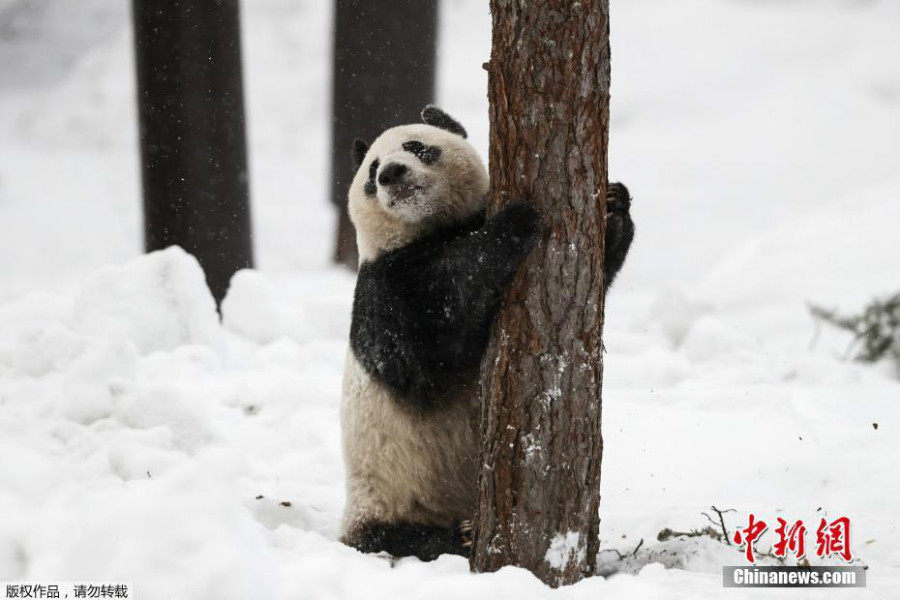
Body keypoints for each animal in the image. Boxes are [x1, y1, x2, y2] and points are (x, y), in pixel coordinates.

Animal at [342, 106, 636, 564]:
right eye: (372, 172)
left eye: (416, 146)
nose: (391, 173)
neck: (431, 229)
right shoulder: (385, 289)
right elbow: (433, 337)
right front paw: (515, 220)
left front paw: (613, 203)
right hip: (390, 495)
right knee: (404, 538)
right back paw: (460, 535)